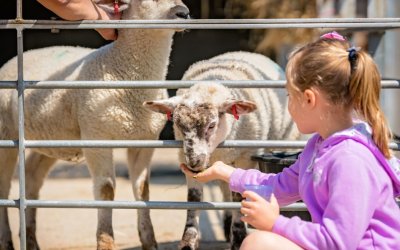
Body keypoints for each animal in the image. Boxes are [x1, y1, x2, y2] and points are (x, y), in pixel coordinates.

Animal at [0, 0, 190, 250]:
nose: (184, 13)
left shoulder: (145, 140)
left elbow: (142, 189)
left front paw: (150, 241)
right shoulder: (96, 136)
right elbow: (106, 190)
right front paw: (105, 242)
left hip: (51, 137)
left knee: (32, 176)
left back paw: (30, 239)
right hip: (6, 133)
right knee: (4, 185)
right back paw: (7, 241)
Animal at [145, 49, 300, 249]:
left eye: (212, 125)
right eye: (178, 125)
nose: (194, 162)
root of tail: (243, 51)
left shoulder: (245, 158)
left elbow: (238, 197)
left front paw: (239, 238)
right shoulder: (185, 159)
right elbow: (194, 199)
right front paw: (188, 241)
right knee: (225, 187)